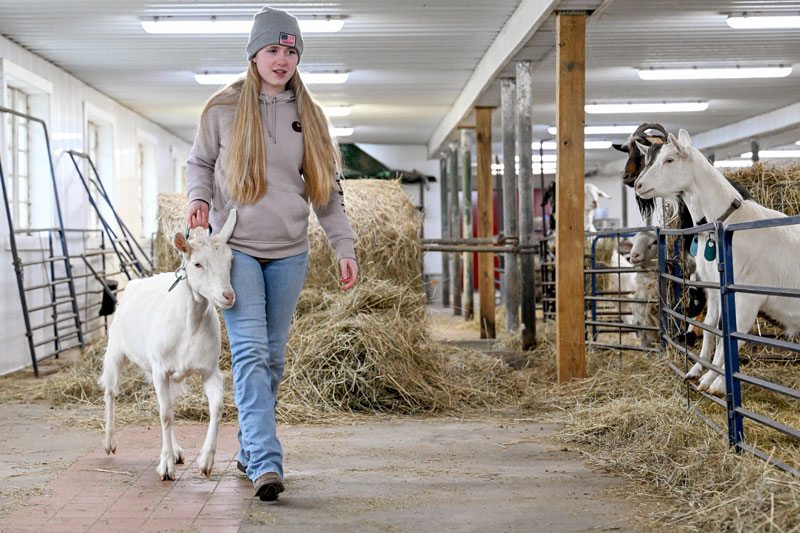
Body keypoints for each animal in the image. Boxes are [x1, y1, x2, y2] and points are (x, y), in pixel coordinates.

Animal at [100, 210, 238, 480]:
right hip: (116, 351)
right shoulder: (160, 370)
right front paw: (165, 466)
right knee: (111, 392)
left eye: (230, 261)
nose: (228, 296)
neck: (190, 324)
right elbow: (165, 416)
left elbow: (215, 408)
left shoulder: (210, 371)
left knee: (166, 404)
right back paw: (110, 442)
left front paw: (205, 461)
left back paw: (175, 450)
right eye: (197, 264)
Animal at [640, 129, 800, 394]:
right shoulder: (714, 289)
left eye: (669, 159)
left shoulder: (746, 296)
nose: (638, 185)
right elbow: (712, 328)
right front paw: (700, 371)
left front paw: (716, 382)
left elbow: (734, 334)